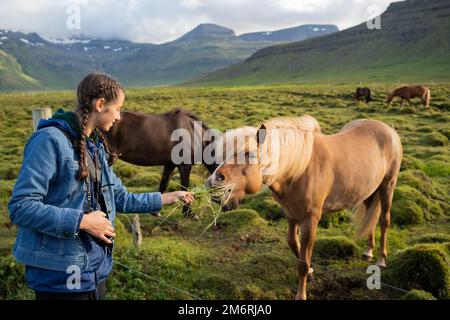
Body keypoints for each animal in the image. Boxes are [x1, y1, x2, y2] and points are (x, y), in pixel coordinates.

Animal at [206, 115, 402, 300]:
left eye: (251, 154)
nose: (213, 183)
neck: (300, 170)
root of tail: (389, 129)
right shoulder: (291, 215)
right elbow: (294, 244)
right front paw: (311, 271)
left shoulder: (310, 221)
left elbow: (302, 262)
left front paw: (301, 294)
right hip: (369, 191)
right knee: (371, 218)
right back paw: (368, 251)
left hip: (387, 186)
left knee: (384, 220)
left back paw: (381, 259)